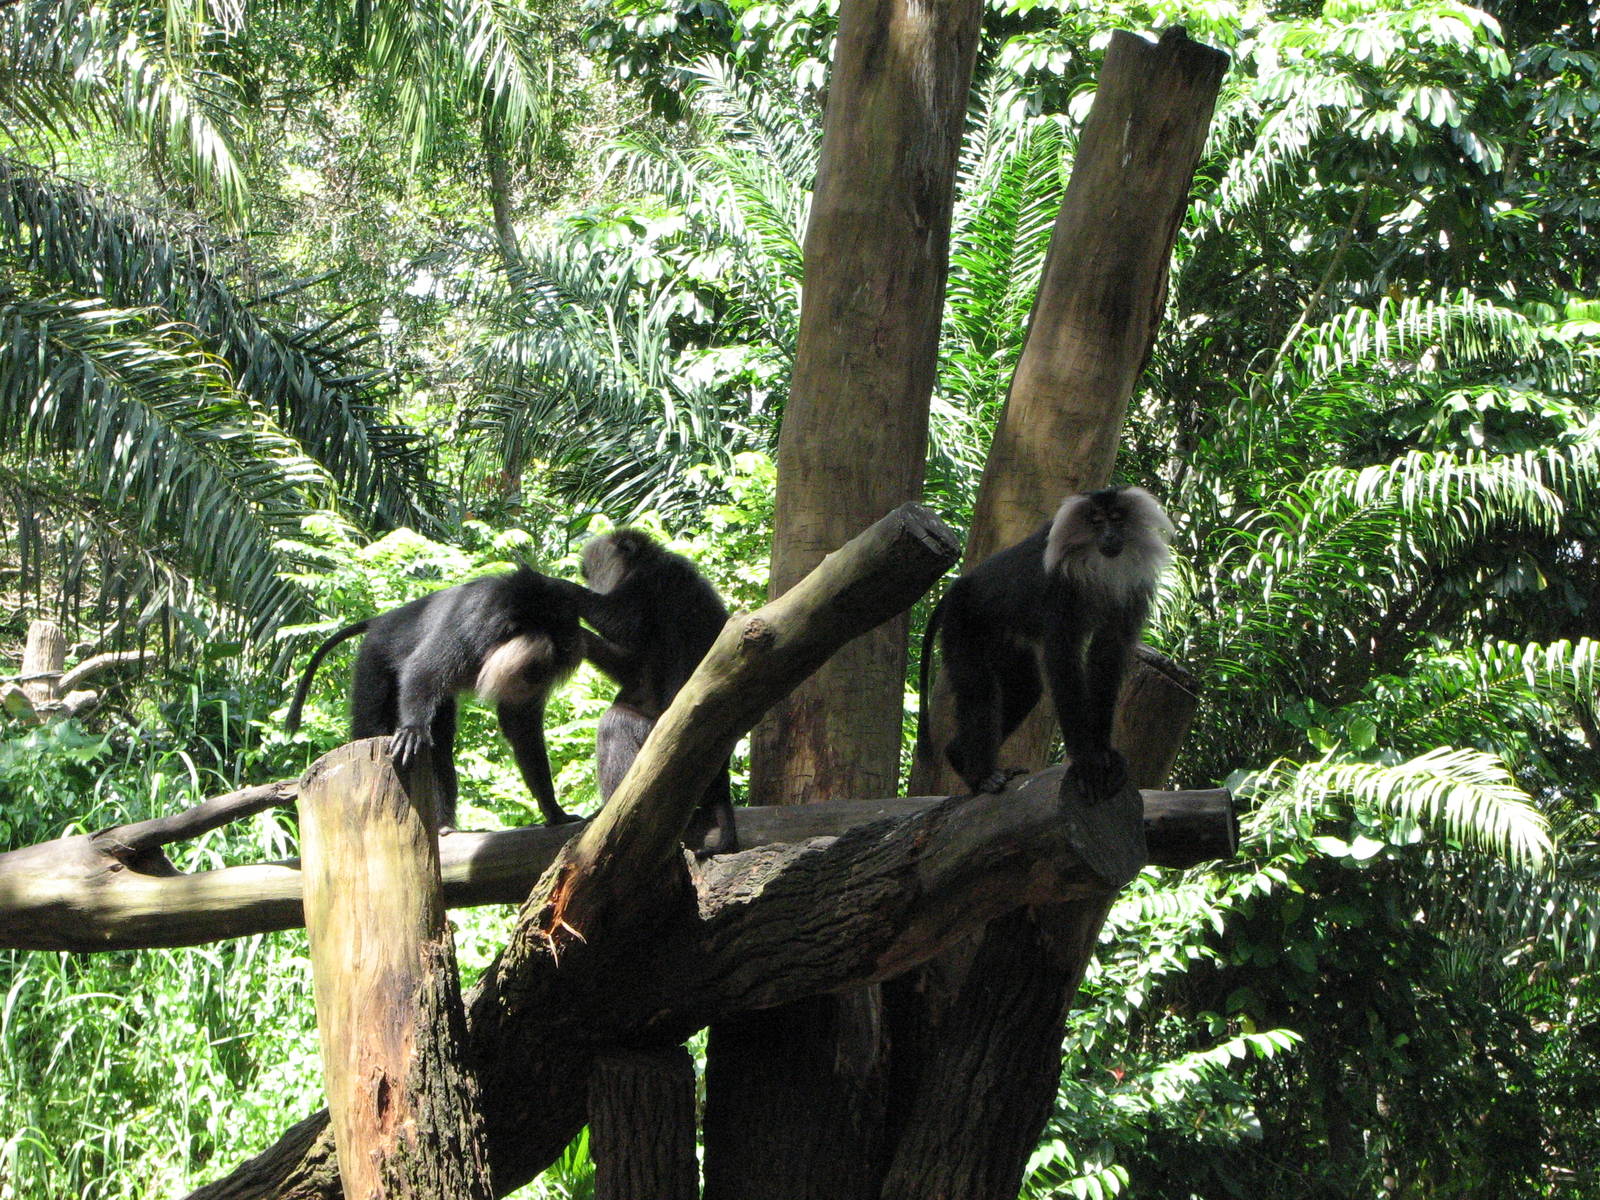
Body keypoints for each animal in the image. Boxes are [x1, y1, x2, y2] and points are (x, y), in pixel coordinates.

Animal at [284, 566, 591, 830]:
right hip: (372, 658)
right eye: (535, 669)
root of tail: (383, 620)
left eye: (542, 673)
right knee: (371, 721)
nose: (534, 684)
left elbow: (520, 727)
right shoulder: (469, 625)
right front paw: (412, 729)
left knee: (440, 743)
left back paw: (443, 824)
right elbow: (423, 671)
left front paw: (554, 810)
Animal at [577, 529, 738, 856]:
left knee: (616, 723)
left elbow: (623, 624)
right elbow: (631, 664)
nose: (587, 579)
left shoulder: (653, 580)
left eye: (589, 571)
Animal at [917, 486, 1173, 802]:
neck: (1098, 564)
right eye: (1095, 521)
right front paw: (1086, 761)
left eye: (1116, 518)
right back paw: (982, 777)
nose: (1110, 536)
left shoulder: (1131, 590)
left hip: (1003, 639)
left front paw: (1104, 752)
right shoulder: (1060, 589)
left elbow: (1106, 656)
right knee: (979, 691)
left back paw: (957, 756)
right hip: (963, 625)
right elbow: (1062, 659)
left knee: (1026, 689)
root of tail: (957, 588)